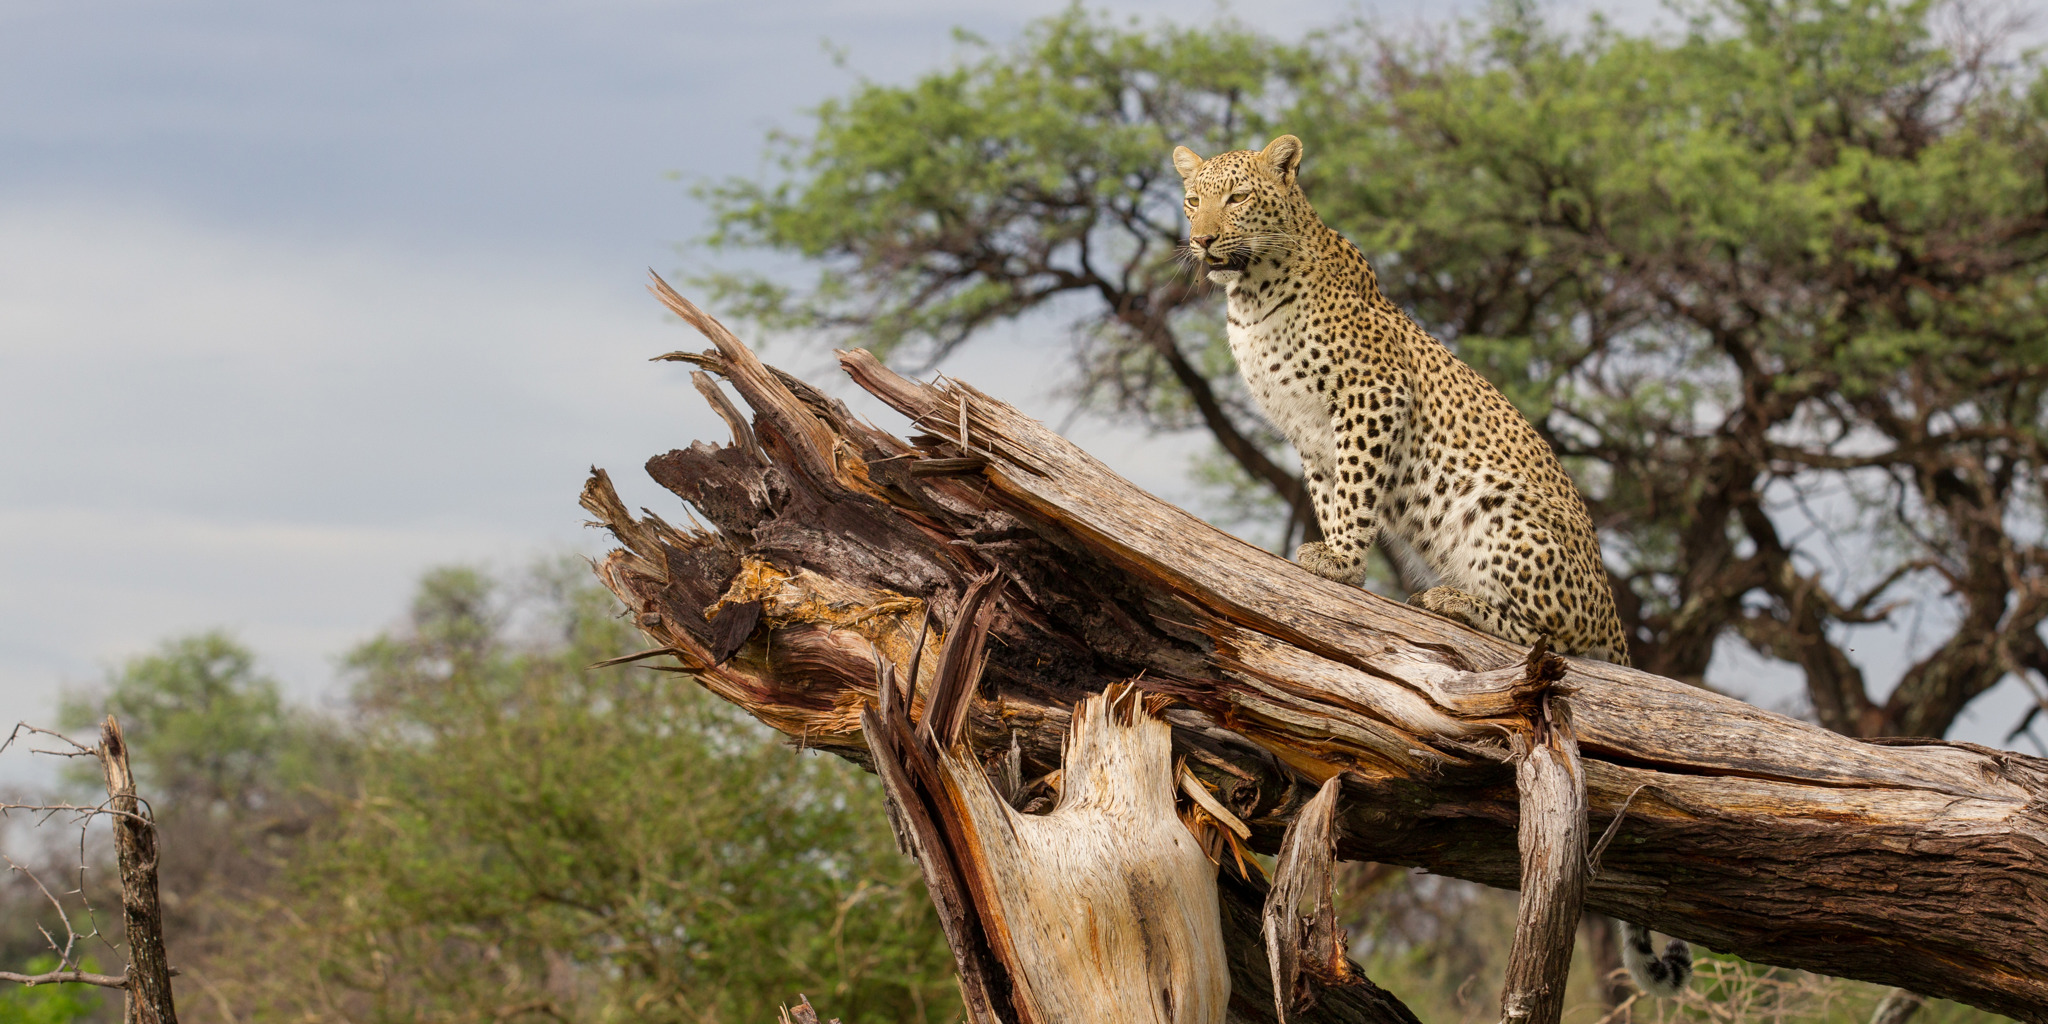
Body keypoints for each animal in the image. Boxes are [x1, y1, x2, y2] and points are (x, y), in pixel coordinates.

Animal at [1173, 134, 1692, 998]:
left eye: (1238, 197)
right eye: (1192, 200)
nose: (1204, 240)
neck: (1249, 295)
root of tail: (1616, 617)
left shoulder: (1371, 400)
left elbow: (1355, 495)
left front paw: (1339, 566)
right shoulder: (1311, 437)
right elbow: (1332, 491)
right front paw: (1331, 556)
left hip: (1500, 516)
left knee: (1542, 639)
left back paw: (1452, 601)